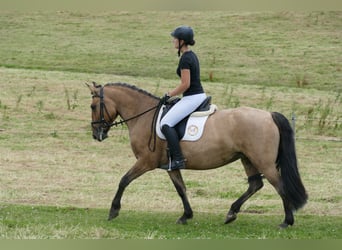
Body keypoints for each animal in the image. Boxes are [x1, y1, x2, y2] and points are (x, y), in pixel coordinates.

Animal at [87, 81, 308, 228]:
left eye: (93, 106)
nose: (96, 134)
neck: (145, 115)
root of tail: (269, 115)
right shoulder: (171, 166)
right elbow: (181, 189)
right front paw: (186, 215)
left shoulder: (145, 162)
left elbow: (124, 180)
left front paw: (113, 210)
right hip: (247, 159)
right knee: (255, 184)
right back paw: (231, 213)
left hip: (263, 162)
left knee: (279, 185)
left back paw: (286, 222)